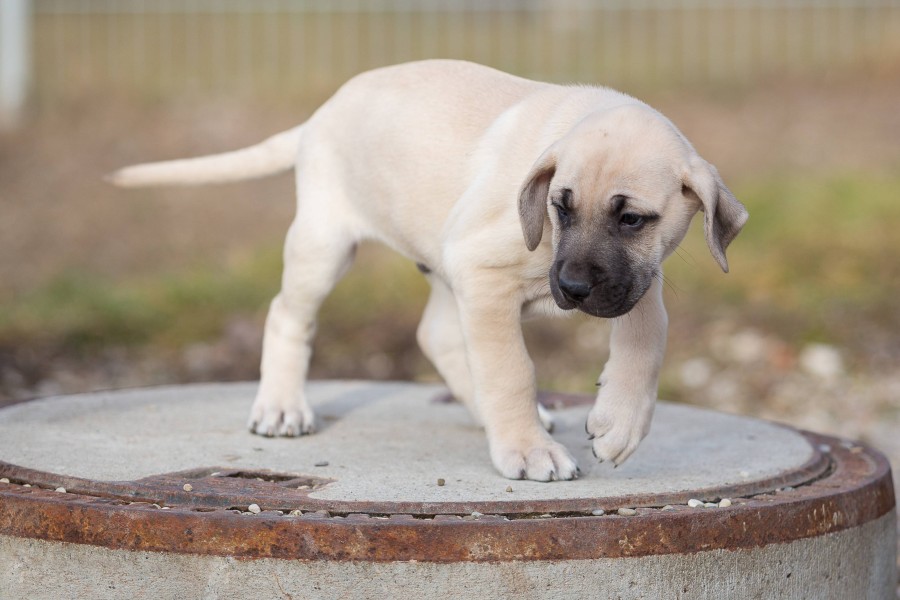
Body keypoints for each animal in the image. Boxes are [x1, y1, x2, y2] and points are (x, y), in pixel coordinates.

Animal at [110, 59, 744, 482]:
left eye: (632, 219)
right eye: (560, 207)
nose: (571, 288)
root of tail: (319, 116)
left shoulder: (635, 278)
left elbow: (648, 332)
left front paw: (619, 422)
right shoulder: (483, 271)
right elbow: (511, 370)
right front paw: (528, 449)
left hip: (439, 263)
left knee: (435, 334)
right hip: (325, 244)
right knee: (288, 315)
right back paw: (282, 406)